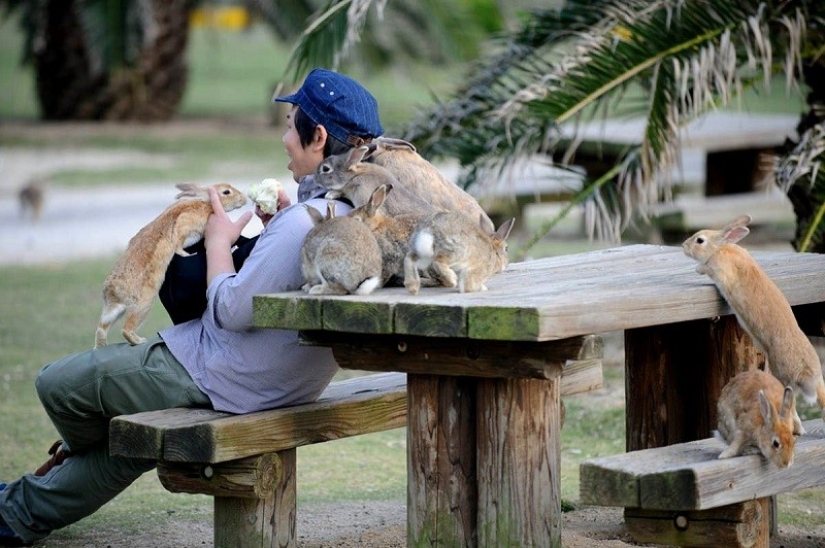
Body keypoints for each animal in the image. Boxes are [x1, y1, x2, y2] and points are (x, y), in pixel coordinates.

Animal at [95, 182, 247, 348]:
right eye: (226, 192)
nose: (244, 199)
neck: (206, 202)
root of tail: (112, 290)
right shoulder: (185, 224)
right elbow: (178, 245)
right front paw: (188, 255)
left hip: (116, 310)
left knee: (102, 327)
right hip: (143, 303)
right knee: (126, 328)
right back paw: (140, 341)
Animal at [682, 214, 825, 429]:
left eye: (700, 240)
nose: (683, 246)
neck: (720, 247)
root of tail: (810, 376)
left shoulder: (718, 268)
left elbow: (706, 268)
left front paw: (698, 268)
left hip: (782, 374)